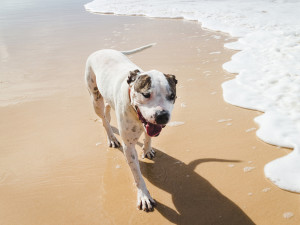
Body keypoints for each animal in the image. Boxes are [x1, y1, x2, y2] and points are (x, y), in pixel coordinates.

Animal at [84, 43, 177, 211]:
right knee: (103, 118)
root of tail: (102, 50)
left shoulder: (149, 124)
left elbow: (148, 137)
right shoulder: (128, 146)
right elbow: (137, 174)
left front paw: (147, 150)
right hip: (95, 97)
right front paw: (144, 195)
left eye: (172, 96)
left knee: (107, 108)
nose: (162, 116)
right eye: (146, 94)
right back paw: (111, 137)